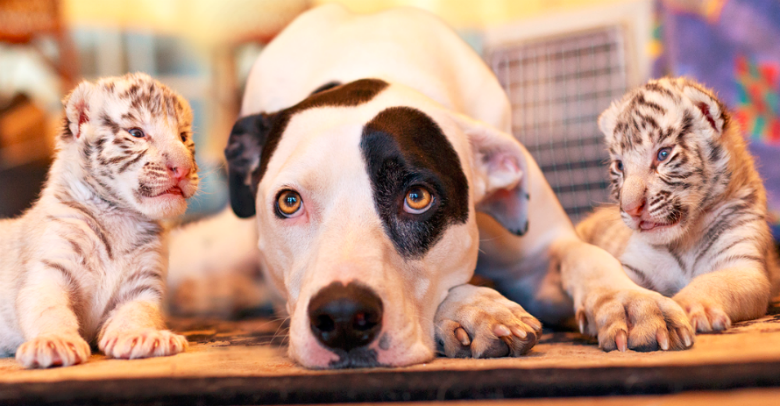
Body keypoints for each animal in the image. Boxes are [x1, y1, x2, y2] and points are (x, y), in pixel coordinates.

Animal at [169, 5, 696, 368]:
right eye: (289, 202)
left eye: (417, 198)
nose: (343, 317)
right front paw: (474, 310)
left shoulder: (541, 252)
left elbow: (585, 255)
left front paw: (628, 300)